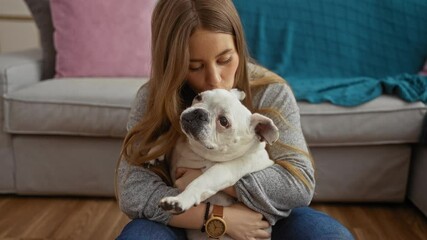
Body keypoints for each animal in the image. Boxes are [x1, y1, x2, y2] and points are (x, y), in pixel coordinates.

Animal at [160, 89, 278, 239]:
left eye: (223, 121)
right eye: (198, 97)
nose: (199, 113)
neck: (198, 151)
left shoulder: (223, 171)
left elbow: (200, 182)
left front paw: (180, 200)